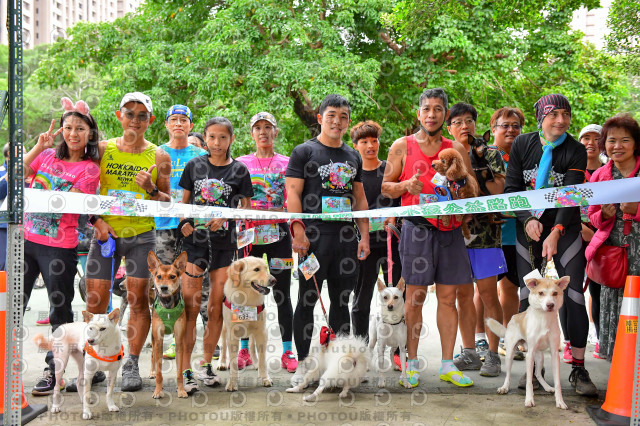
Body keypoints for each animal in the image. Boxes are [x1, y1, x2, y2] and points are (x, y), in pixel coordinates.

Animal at [149, 251, 189, 398]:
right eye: (159, 276)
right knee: (152, 355)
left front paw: (181, 390)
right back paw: (152, 372)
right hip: (153, 337)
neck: (167, 305)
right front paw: (157, 391)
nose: (163, 288)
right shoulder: (158, 339)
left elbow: (179, 372)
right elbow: (159, 372)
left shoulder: (179, 340)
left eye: (173, 276)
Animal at [484, 276, 568, 410]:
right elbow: (529, 382)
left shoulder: (554, 355)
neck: (544, 318)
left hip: (540, 356)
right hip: (511, 354)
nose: (550, 305)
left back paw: (548, 387)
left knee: (538, 373)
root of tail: (513, 318)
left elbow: (557, 383)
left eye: (555, 293)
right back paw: (504, 388)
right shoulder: (530, 354)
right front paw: (529, 400)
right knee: (508, 374)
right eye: (541, 293)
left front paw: (560, 401)